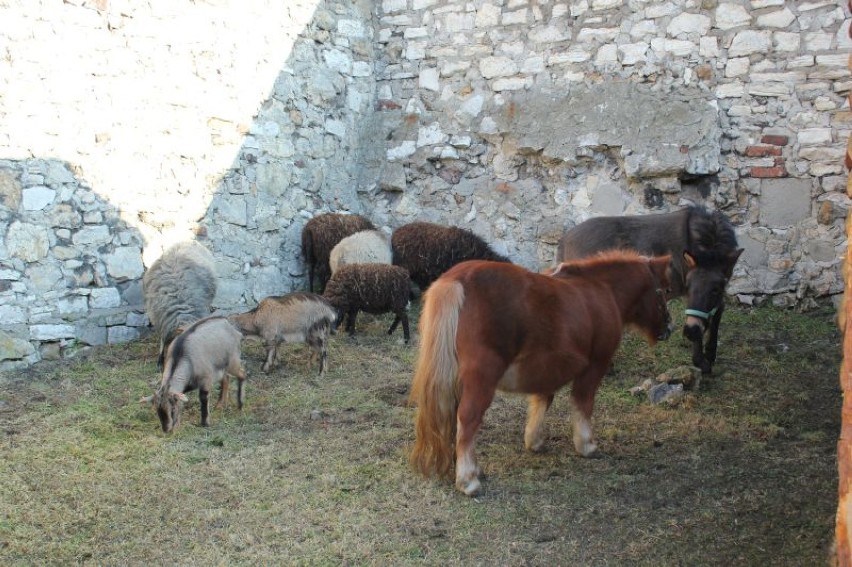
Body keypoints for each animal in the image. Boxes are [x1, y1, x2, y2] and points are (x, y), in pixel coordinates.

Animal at [412, 253, 672, 496]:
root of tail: (455, 280)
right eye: (663, 291)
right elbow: (583, 403)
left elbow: (543, 401)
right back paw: (468, 480)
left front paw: (534, 441)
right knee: (467, 420)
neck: (601, 289)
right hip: (481, 381)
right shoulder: (596, 365)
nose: (669, 328)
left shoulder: (549, 368)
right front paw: (586, 445)